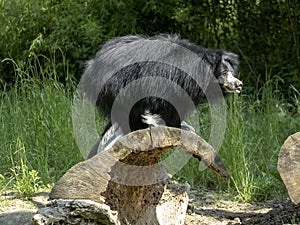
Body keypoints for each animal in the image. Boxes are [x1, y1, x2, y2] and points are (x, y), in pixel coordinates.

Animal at [80, 34, 244, 157]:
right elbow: (170, 105)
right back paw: (138, 127)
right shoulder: (175, 82)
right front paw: (178, 127)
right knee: (127, 111)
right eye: (224, 73)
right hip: (117, 86)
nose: (238, 84)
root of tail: (92, 66)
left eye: (231, 72)